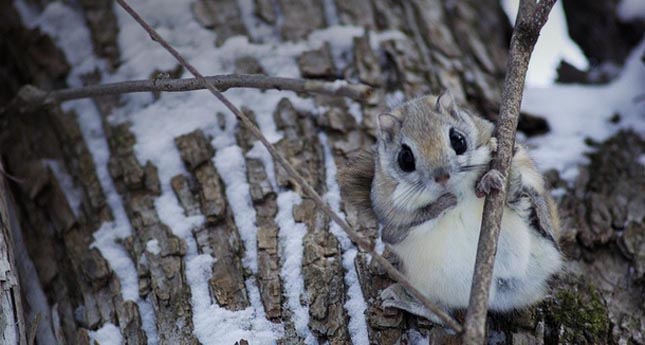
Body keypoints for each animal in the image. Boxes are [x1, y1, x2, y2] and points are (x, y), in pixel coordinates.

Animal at [340, 93, 560, 322]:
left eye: (458, 140)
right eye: (405, 158)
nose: (442, 176)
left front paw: (491, 164)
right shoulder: (391, 217)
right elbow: (401, 228)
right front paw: (442, 204)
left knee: (532, 211)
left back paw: (507, 186)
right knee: (442, 314)